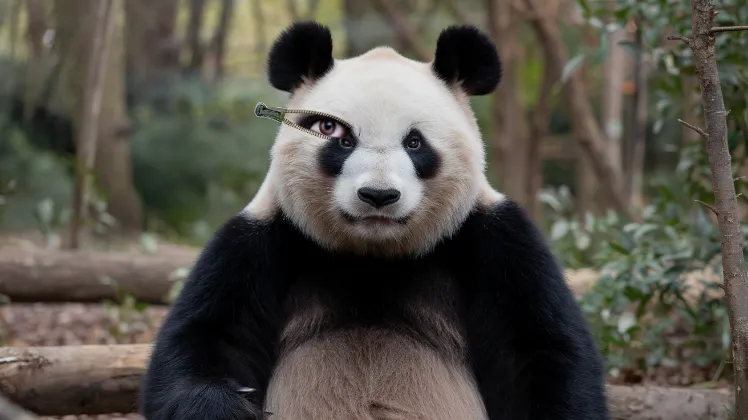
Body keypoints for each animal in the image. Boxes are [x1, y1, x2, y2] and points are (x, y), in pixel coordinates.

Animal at [139, 21, 608, 420]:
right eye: (335, 135)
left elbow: (537, 351)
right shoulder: (258, 242)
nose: (378, 196)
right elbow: (207, 340)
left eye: (415, 143)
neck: (372, 256)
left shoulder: (495, 241)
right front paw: (226, 405)